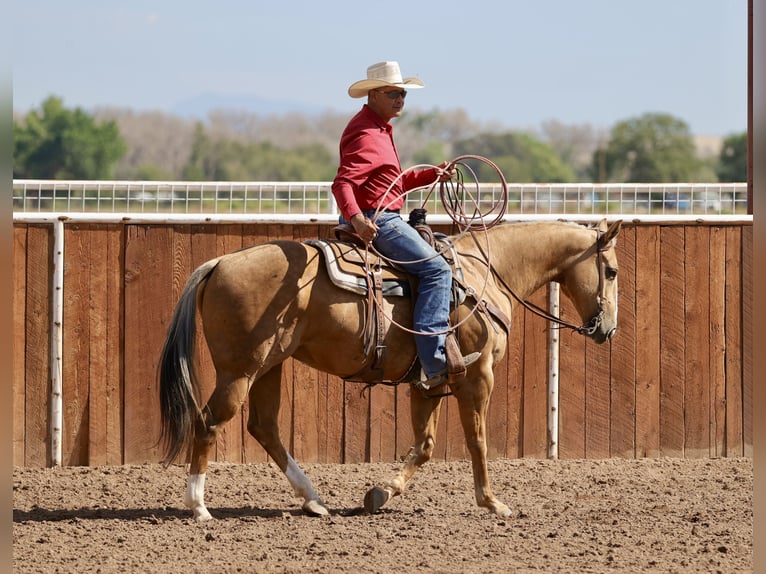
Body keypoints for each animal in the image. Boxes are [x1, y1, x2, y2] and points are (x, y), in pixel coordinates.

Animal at [158, 217, 622, 521]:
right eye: (612, 271)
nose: (608, 329)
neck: (485, 273)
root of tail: (219, 263)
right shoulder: (478, 377)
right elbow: (477, 442)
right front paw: (493, 503)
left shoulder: (428, 383)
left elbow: (426, 445)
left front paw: (381, 493)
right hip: (240, 370)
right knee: (209, 422)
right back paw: (199, 506)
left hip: (269, 366)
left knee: (264, 427)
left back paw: (313, 500)